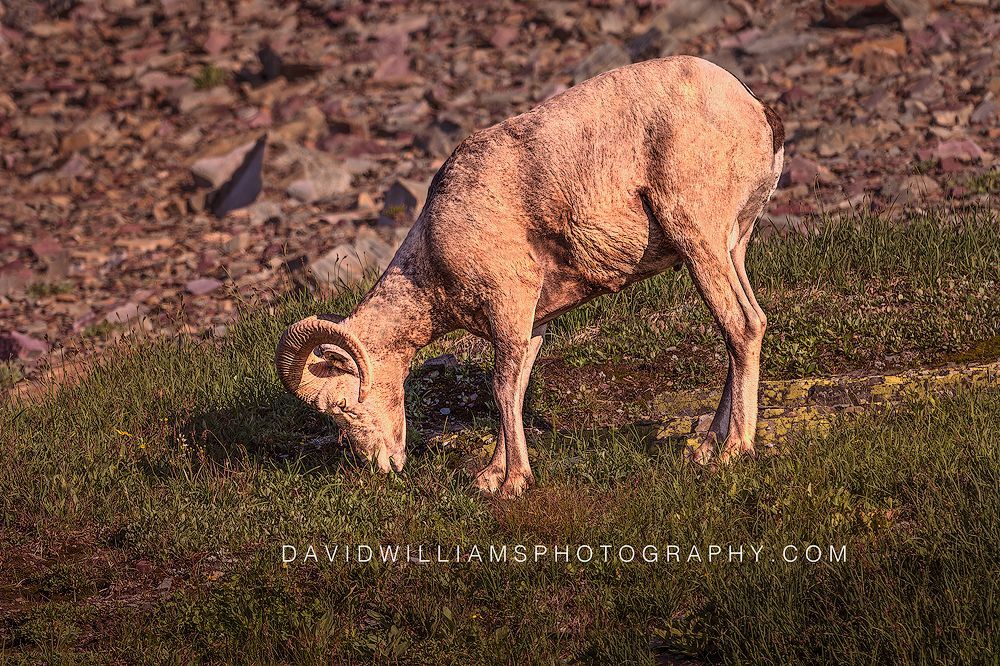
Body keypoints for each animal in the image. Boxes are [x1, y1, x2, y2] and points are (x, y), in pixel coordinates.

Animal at [275, 55, 784, 498]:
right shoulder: (531, 325)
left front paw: (513, 483)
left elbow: (501, 387)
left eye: (343, 406)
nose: (381, 464)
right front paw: (489, 477)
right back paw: (706, 447)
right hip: (732, 247)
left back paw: (734, 450)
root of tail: (756, 111)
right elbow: (516, 390)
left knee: (741, 325)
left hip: (699, 239)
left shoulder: (508, 308)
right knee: (747, 326)